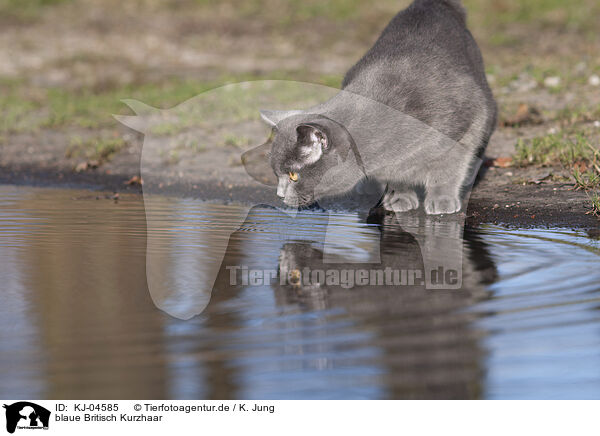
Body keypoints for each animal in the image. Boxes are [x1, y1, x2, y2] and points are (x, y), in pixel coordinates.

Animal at [260, 0, 494, 215]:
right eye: (278, 174)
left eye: (293, 176)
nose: (279, 194)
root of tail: (431, 4)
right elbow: (397, 175)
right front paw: (400, 196)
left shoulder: (464, 125)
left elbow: (449, 168)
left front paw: (442, 199)